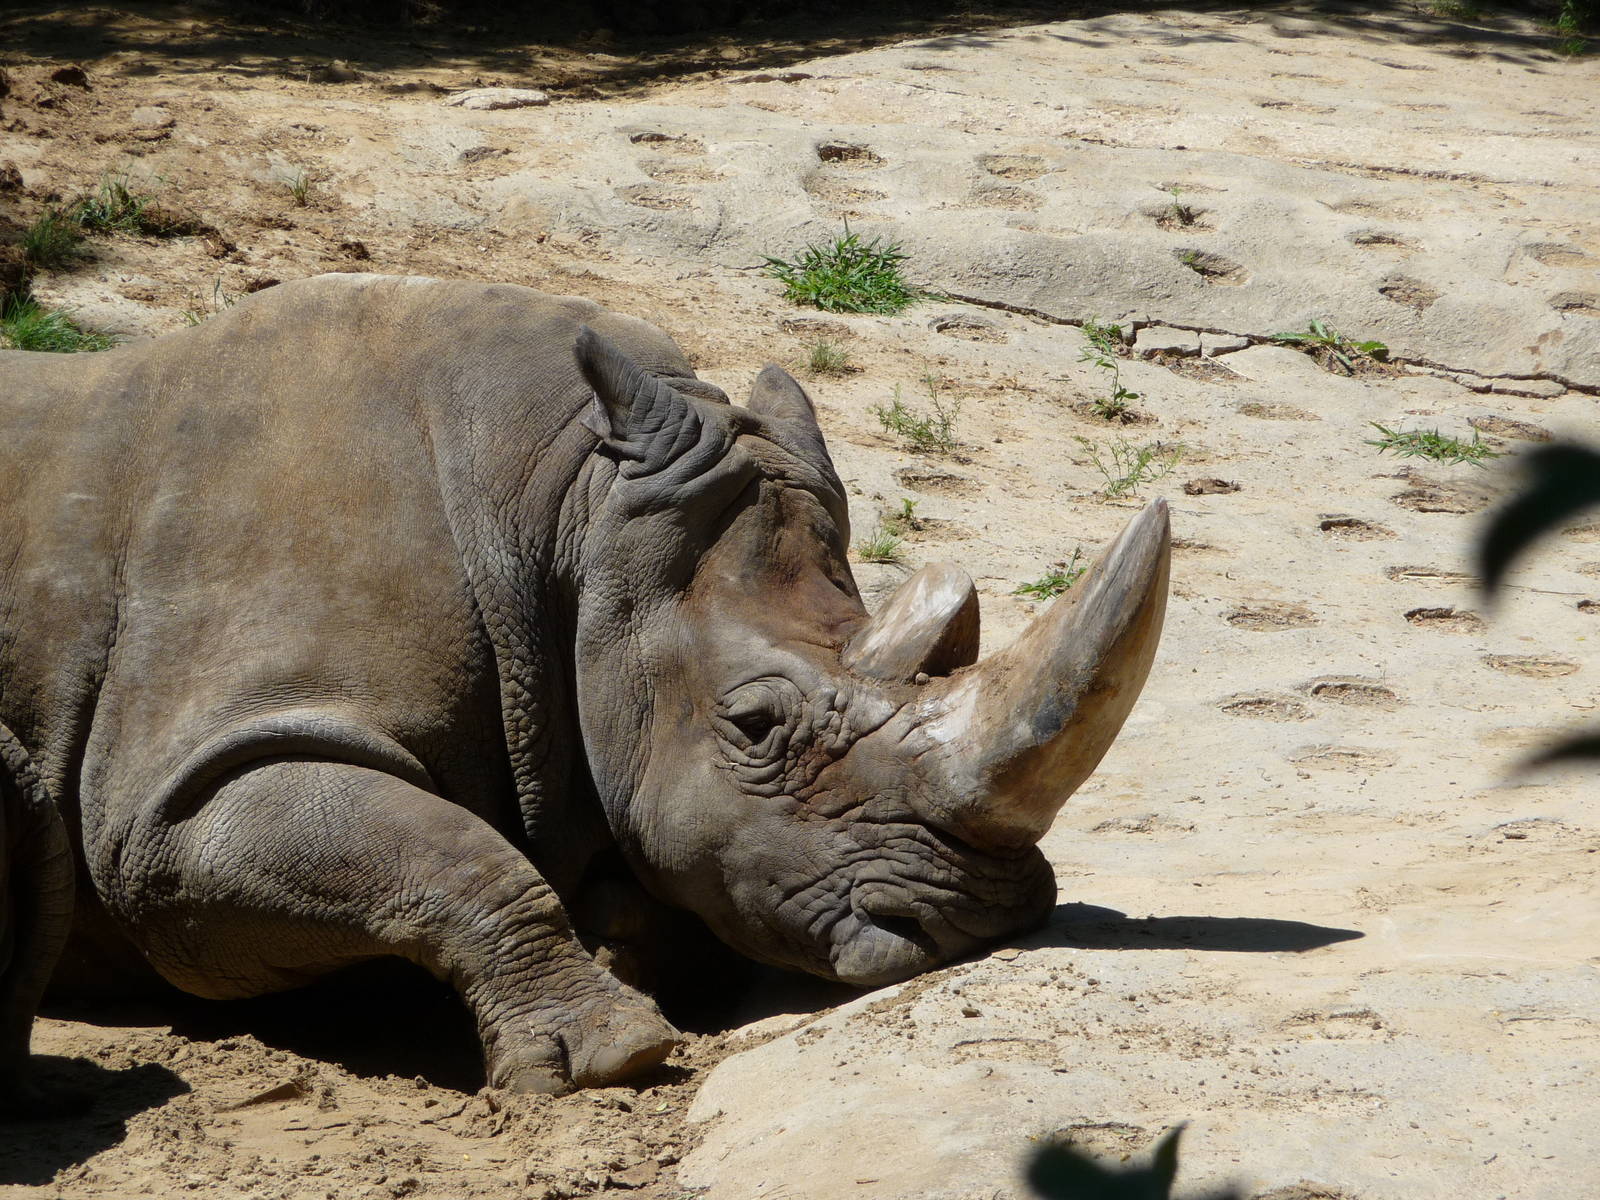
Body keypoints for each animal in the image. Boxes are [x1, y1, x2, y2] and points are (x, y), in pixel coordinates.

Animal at [0, 274, 1169, 1108]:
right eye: (753, 725)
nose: (978, 922)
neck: (572, 514)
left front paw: (625, 940)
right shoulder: (172, 802)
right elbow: (436, 850)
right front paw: (609, 1055)